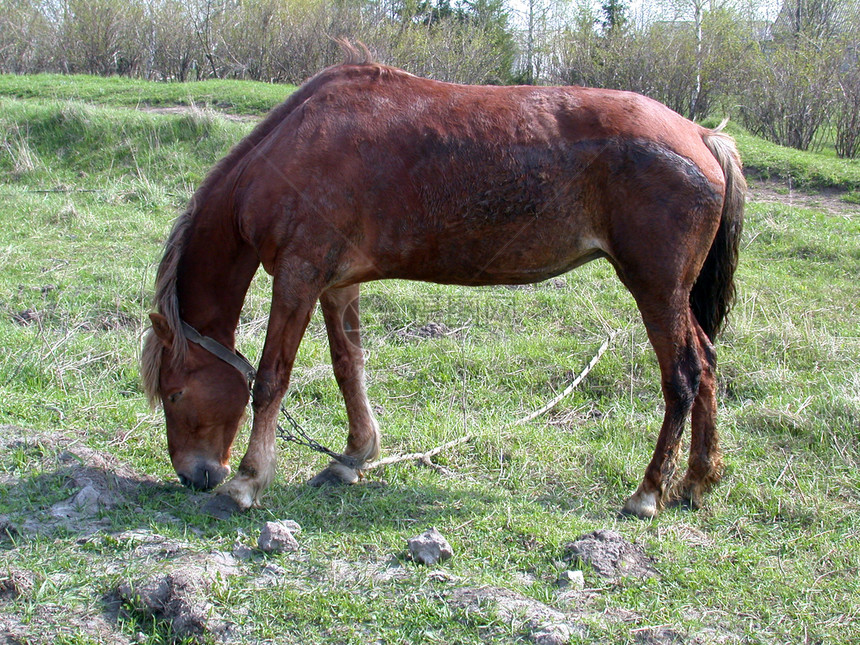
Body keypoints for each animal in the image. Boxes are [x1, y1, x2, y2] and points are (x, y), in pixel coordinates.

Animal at [141, 42, 744, 520]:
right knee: (708, 363)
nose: (195, 475)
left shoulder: (298, 276)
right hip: (674, 295)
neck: (295, 146)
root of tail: (699, 135)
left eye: (174, 392)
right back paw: (695, 481)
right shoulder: (336, 285)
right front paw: (353, 457)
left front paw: (247, 483)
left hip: (655, 289)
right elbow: (348, 368)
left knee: (683, 376)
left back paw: (647, 493)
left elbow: (269, 379)